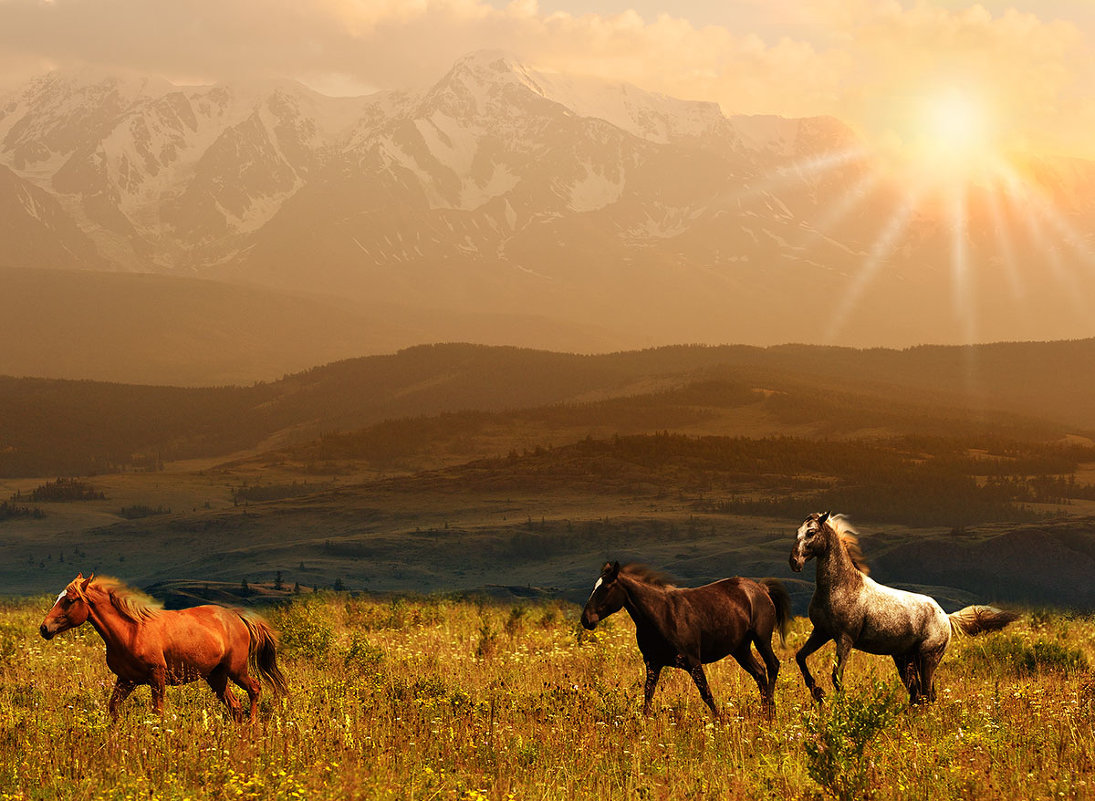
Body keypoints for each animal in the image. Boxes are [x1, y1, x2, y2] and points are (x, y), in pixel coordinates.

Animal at [41, 573, 286, 722]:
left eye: (70, 600)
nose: (44, 628)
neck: (131, 631)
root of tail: (237, 617)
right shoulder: (126, 680)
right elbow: (113, 708)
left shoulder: (156, 677)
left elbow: (157, 712)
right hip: (216, 677)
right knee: (234, 706)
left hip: (237, 670)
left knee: (254, 689)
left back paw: (253, 727)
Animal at [582, 560, 788, 717]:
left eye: (607, 587)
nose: (586, 620)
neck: (661, 614)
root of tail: (761, 588)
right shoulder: (653, 663)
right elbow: (648, 693)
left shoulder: (693, 662)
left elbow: (706, 694)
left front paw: (720, 723)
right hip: (740, 649)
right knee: (759, 672)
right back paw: (764, 711)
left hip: (761, 640)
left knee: (772, 665)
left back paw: (771, 712)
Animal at [788, 512, 1016, 700]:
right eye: (797, 531)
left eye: (811, 532)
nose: (794, 562)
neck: (840, 586)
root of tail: (946, 617)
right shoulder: (821, 632)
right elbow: (800, 657)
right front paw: (817, 693)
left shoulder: (845, 638)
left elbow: (836, 676)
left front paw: (837, 704)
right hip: (905, 659)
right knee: (917, 695)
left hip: (928, 658)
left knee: (926, 694)